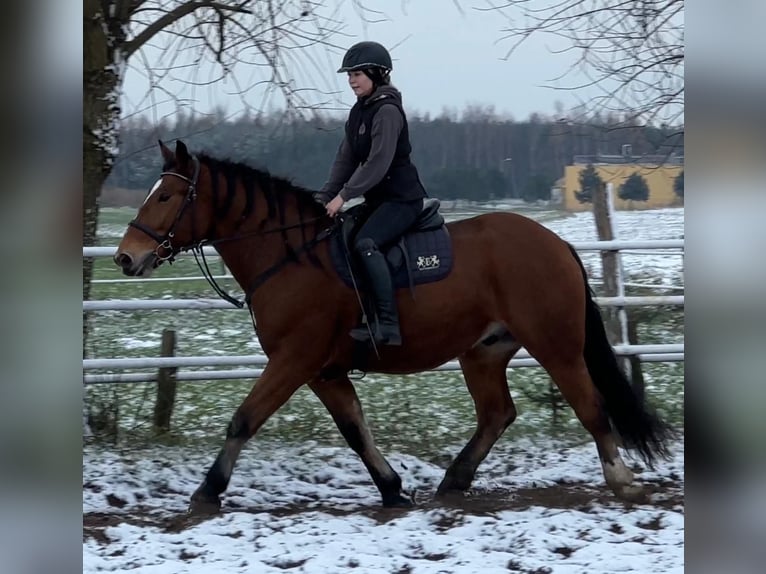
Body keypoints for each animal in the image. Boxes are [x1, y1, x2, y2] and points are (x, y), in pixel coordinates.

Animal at [112, 141, 672, 516]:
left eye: (166, 197)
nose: (125, 258)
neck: (290, 255)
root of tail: (555, 243)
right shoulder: (323, 372)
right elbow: (355, 430)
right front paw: (392, 487)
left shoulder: (294, 360)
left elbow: (244, 420)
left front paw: (207, 491)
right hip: (483, 351)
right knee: (497, 413)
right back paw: (455, 479)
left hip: (556, 347)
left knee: (590, 407)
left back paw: (622, 480)